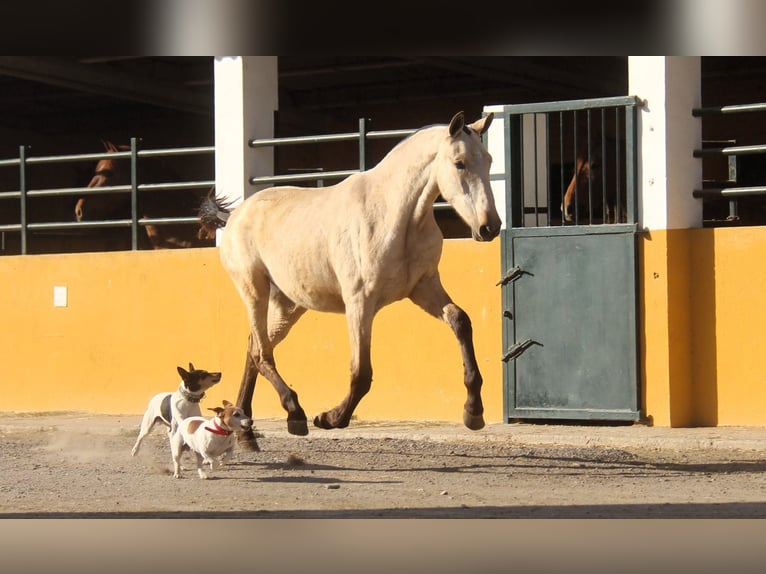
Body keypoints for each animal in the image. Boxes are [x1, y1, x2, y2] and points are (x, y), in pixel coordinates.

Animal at [200, 111, 500, 445]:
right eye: (459, 163)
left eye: (488, 160)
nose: (489, 227)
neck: (395, 216)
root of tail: (235, 215)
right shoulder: (360, 303)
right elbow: (361, 372)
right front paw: (331, 418)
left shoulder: (424, 288)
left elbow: (461, 321)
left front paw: (473, 413)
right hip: (254, 290)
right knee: (262, 353)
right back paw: (295, 414)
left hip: (288, 305)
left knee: (254, 347)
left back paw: (245, 429)